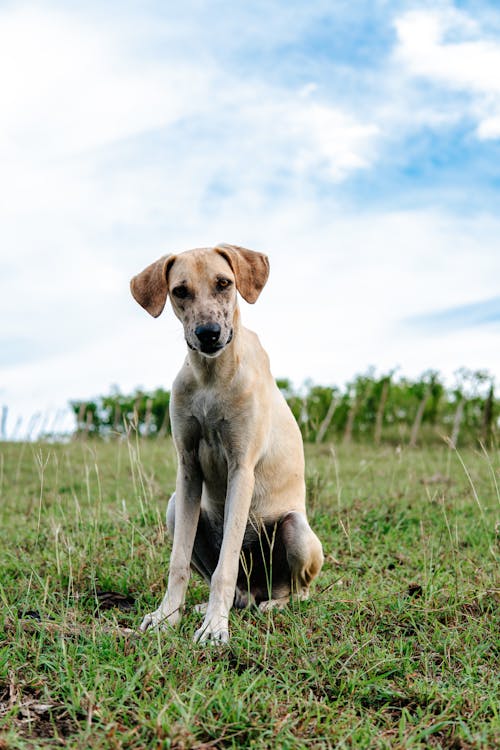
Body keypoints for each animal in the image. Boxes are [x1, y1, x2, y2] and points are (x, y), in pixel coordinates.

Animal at [130, 244, 324, 644]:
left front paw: (215, 628)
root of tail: (254, 592)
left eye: (224, 283)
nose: (208, 334)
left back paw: (274, 605)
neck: (210, 377)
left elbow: (226, 564)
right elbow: (177, 562)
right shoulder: (187, 469)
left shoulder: (242, 468)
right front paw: (166, 616)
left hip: (296, 528)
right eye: (180, 290)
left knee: (298, 590)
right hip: (173, 508)